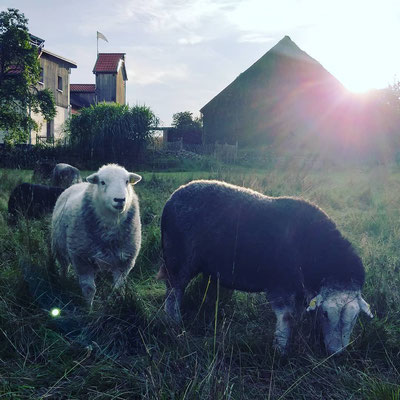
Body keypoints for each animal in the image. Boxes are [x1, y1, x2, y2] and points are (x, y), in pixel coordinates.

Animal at [51, 162, 142, 306]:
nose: (120, 199)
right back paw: (63, 281)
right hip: (58, 247)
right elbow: (89, 289)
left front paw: (116, 303)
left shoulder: (124, 262)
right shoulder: (81, 259)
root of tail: (77, 184)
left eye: (127, 181)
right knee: (64, 266)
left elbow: (117, 288)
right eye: (102, 182)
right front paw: (89, 308)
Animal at [158, 180, 374, 354]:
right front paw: (280, 349)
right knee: (174, 292)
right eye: (325, 314)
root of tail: (174, 196)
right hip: (178, 258)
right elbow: (287, 317)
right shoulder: (282, 283)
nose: (335, 352)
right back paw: (174, 323)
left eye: (356, 318)